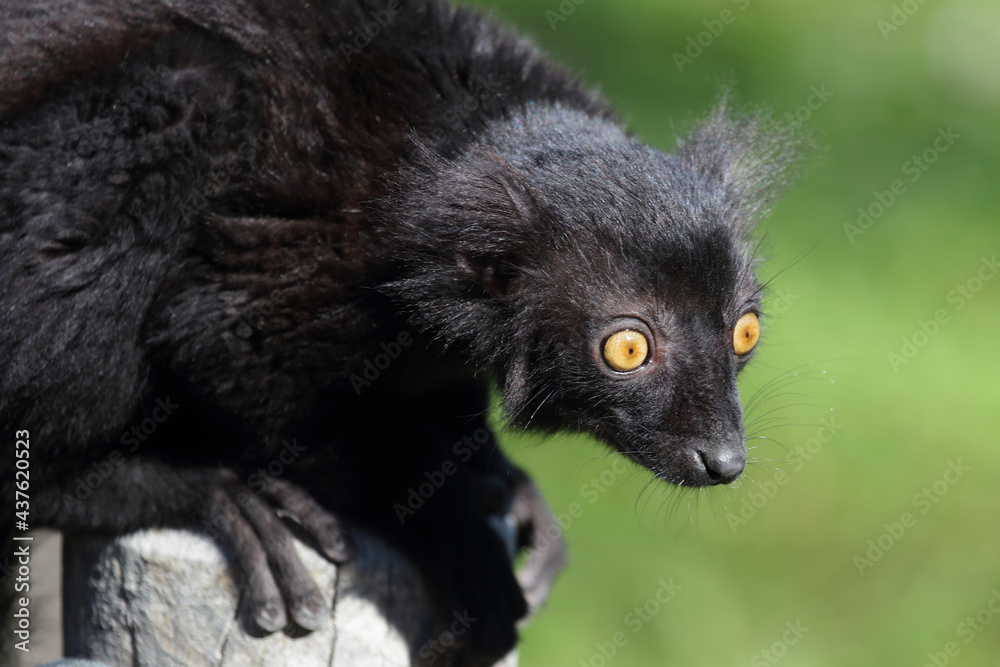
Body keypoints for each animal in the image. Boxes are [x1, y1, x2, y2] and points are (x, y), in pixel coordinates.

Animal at [0, 0, 805, 663]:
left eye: (744, 332)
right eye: (629, 347)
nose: (723, 459)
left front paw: (490, 474)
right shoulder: (286, 276)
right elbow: (238, 361)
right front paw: (445, 520)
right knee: (191, 84)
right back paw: (181, 489)